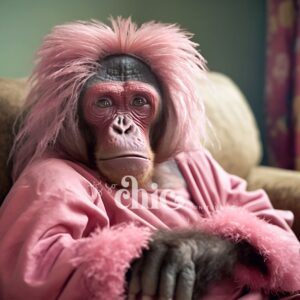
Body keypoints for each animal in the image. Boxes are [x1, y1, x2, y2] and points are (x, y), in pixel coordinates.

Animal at [0, 18, 298, 300]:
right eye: (104, 103)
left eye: (139, 101)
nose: (123, 127)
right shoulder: (47, 178)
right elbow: (48, 257)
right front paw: (157, 250)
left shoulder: (202, 160)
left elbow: (265, 218)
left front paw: (188, 249)